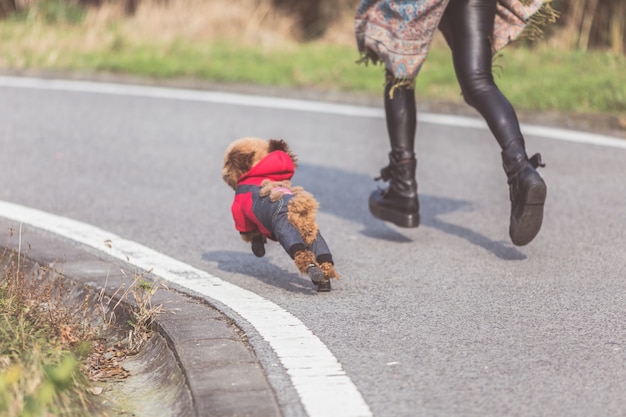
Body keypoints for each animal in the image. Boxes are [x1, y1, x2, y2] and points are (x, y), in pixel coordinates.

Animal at [219, 138, 336, 290]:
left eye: (228, 162)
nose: (223, 172)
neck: (262, 173)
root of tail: (296, 211)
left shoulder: (239, 212)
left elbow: (251, 234)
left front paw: (258, 248)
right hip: (314, 235)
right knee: (323, 256)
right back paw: (324, 280)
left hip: (285, 230)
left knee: (301, 253)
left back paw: (314, 272)